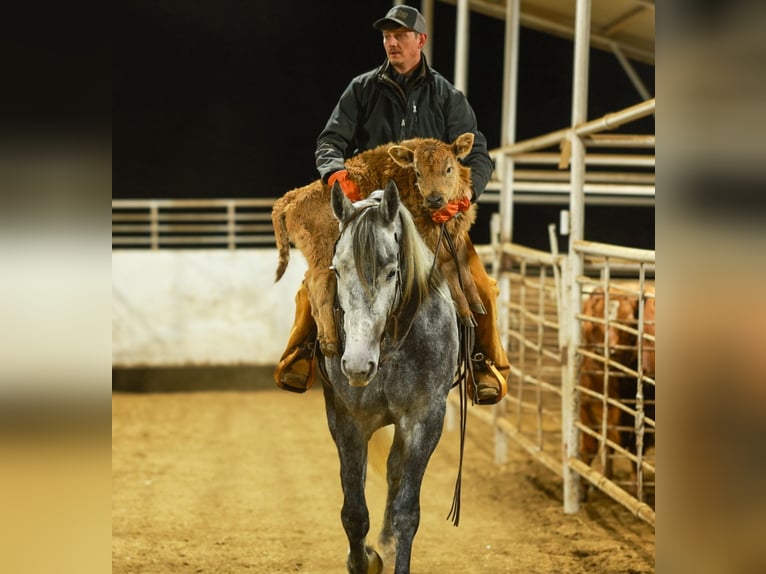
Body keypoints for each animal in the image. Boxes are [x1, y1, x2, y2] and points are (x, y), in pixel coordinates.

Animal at [321, 179, 460, 574]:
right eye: (338, 270)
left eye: (390, 271)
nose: (357, 365)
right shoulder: (348, 421)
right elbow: (354, 511)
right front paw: (363, 560)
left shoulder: (424, 420)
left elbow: (406, 513)